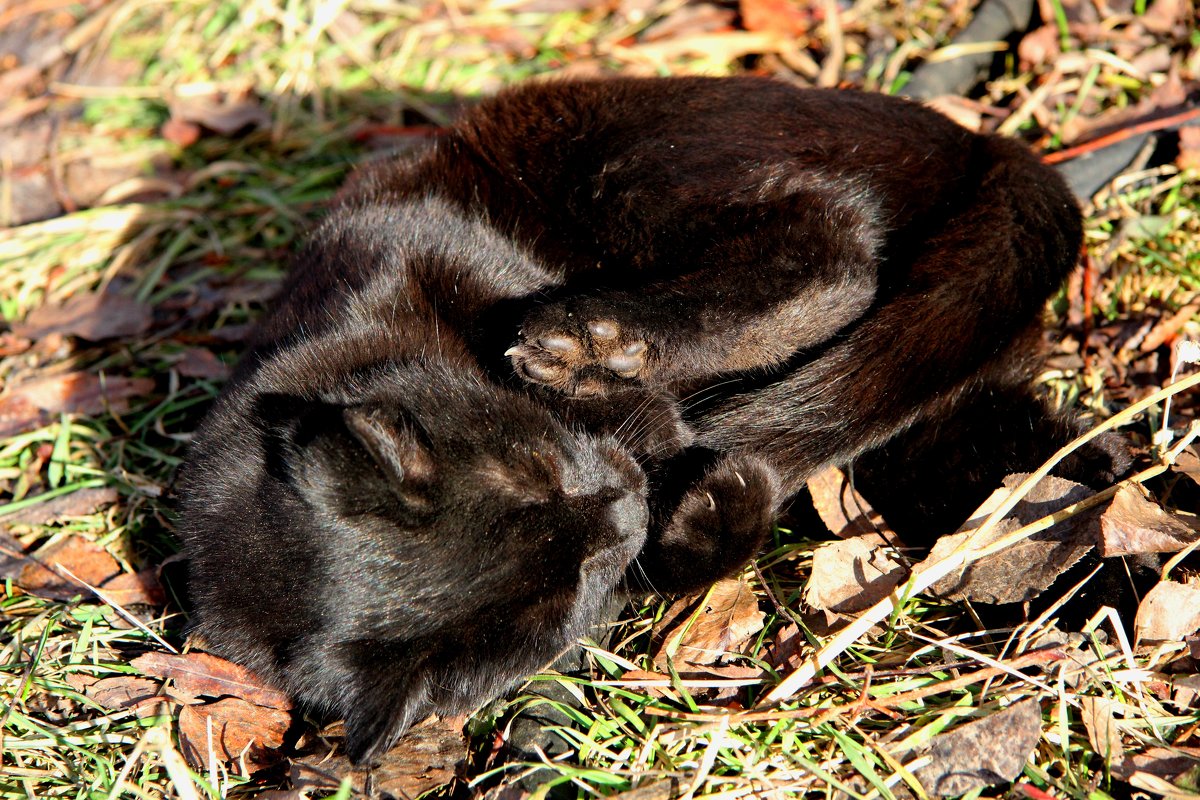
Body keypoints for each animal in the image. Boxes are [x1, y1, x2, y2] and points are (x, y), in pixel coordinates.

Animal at [175, 77, 1123, 767]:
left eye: (538, 468)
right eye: (564, 593)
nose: (624, 503)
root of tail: (989, 144)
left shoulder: (423, 242)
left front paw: (615, 391)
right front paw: (711, 503)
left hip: (642, 165)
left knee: (832, 248)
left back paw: (592, 345)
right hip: (947, 427)